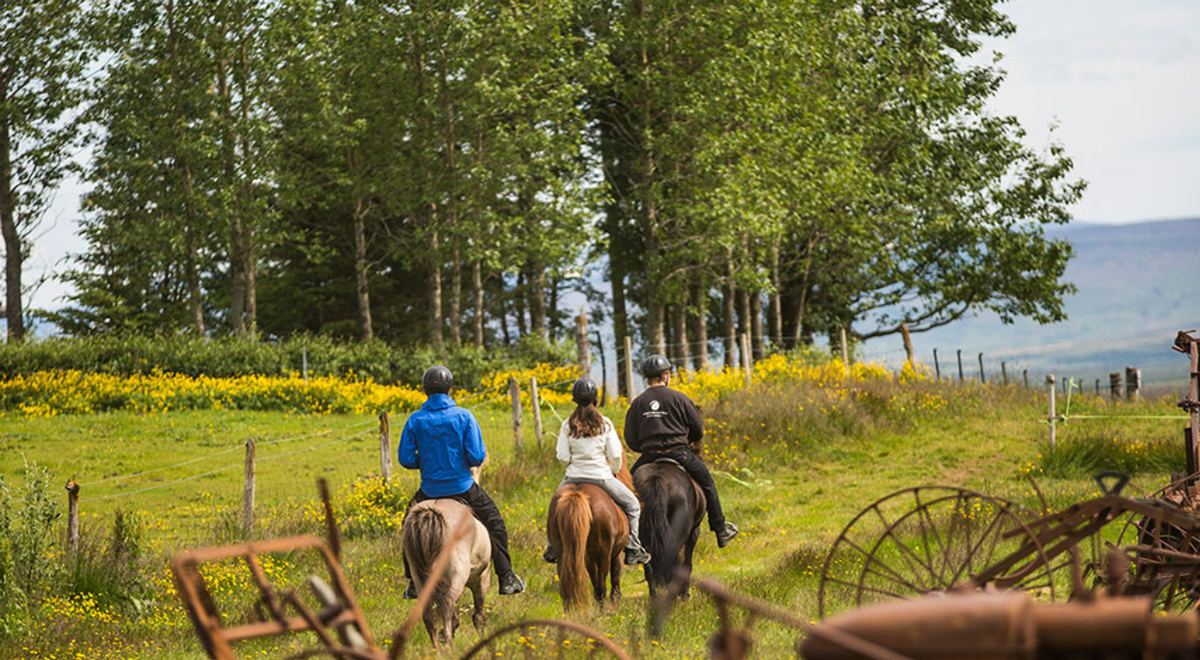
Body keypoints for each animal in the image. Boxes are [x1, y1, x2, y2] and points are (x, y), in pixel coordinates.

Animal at [401, 499, 491, 649]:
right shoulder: (481, 579)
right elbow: (478, 616)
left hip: (419, 576)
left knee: (429, 614)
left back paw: (437, 648)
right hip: (457, 577)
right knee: (446, 609)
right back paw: (448, 646)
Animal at [546, 483, 629, 611]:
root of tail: (577, 493)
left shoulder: (589, 558)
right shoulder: (616, 555)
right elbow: (615, 582)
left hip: (562, 552)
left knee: (565, 589)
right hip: (603, 555)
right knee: (601, 588)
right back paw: (602, 614)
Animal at [632, 460, 705, 598]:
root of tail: (655, 478)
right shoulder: (694, 532)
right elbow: (687, 564)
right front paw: (685, 593)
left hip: (642, 535)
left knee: (649, 568)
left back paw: (654, 597)